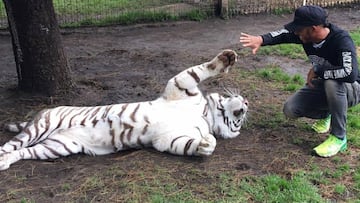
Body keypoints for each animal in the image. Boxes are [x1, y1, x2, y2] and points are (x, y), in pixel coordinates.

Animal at [0, 50, 248, 170]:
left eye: (237, 123)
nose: (245, 105)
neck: (205, 115)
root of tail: (41, 113)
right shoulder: (181, 85)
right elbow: (201, 70)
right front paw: (226, 58)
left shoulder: (169, 138)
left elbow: (191, 144)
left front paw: (206, 144)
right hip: (40, 128)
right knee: (10, 145)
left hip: (57, 147)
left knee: (24, 152)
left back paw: (5, 163)